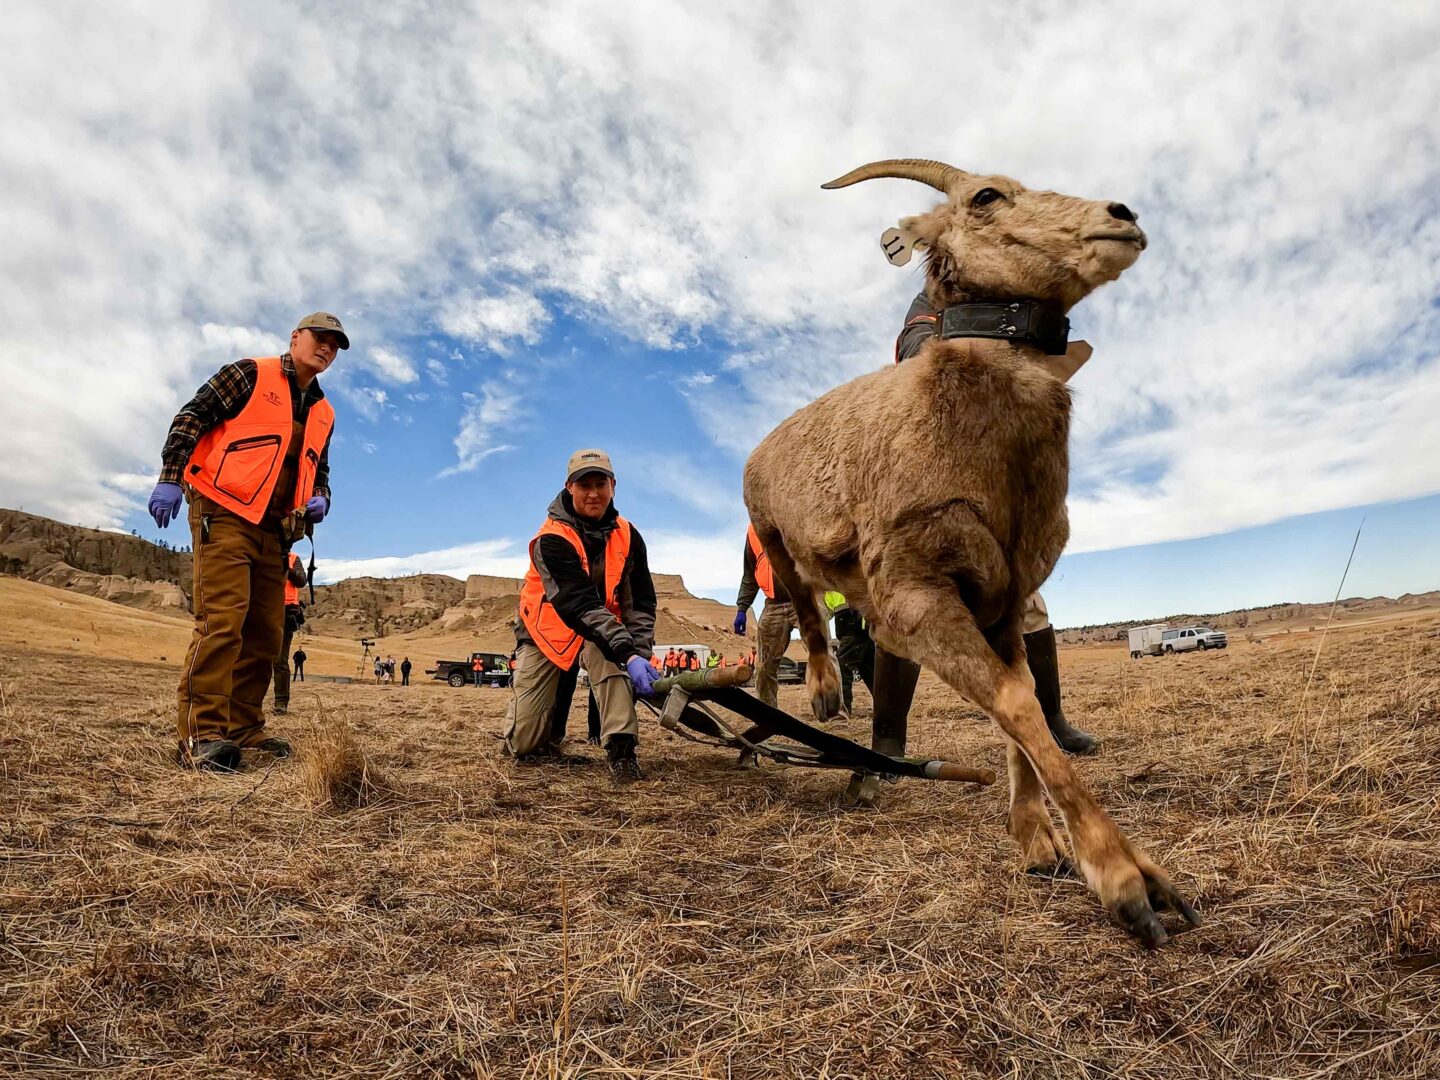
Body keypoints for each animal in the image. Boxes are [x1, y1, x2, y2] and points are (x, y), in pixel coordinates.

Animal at [742, 158, 1199, 946]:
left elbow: (1022, 702)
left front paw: (1039, 844)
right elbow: (1014, 700)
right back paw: (822, 696)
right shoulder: (917, 595)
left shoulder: (1005, 598)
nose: (1123, 216)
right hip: (770, 535)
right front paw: (1130, 882)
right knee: (794, 607)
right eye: (986, 195)